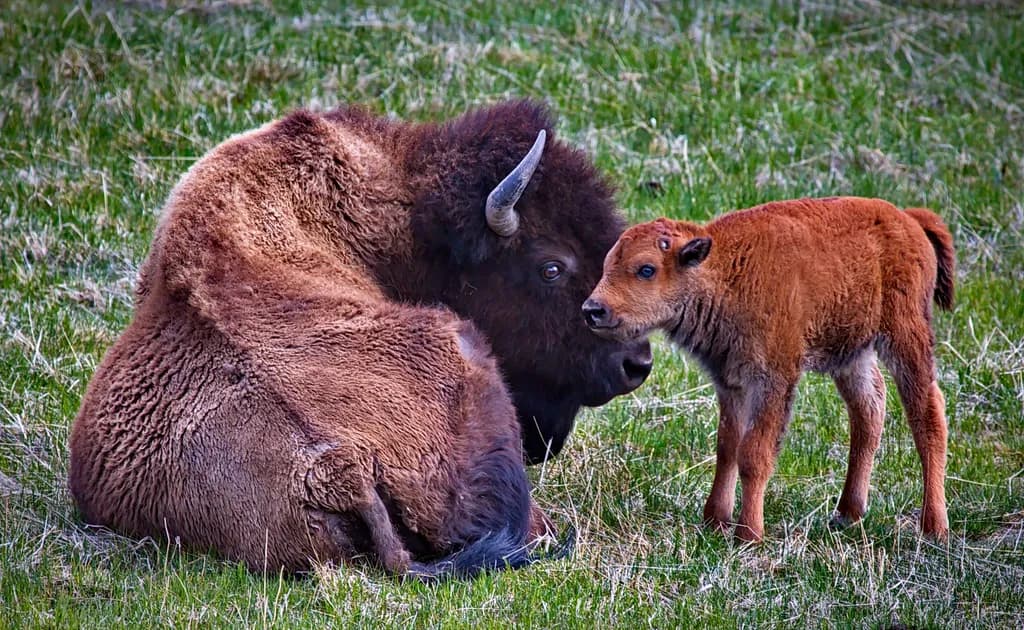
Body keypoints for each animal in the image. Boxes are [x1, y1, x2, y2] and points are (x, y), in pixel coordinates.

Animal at [583, 197, 954, 542]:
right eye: (608, 264)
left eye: (646, 269)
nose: (593, 310)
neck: (724, 270)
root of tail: (907, 219)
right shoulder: (730, 382)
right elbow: (727, 447)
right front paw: (715, 521)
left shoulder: (773, 379)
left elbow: (753, 453)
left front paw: (748, 533)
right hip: (852, 353)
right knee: (869, 410)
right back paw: (847, 514)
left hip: (905, 335)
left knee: (927, 416)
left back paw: (934, 527)